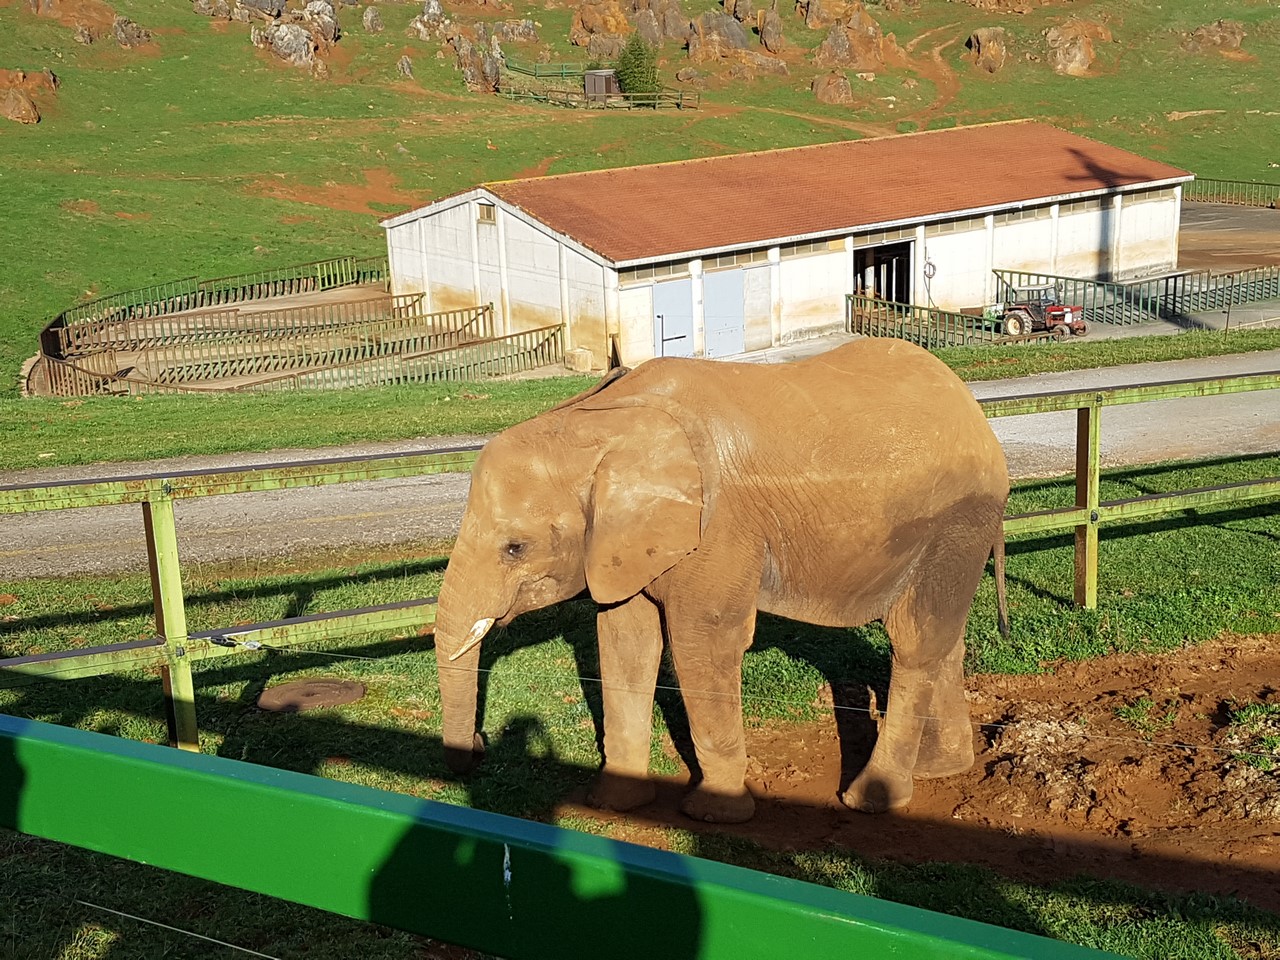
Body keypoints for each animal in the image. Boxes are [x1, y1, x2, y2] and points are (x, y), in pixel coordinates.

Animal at [432, 335, 1008, 824]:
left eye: (515, 548)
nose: (481, 743)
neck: (601, 422)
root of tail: (970, 404)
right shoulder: (625, 544)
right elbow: (625, 640)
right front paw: (616, 804)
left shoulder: (719, 529)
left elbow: (702, 642)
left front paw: (713, 815)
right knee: (942, 639)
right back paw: (941, 769)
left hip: (960, 518)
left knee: (914, 641)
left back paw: (870, 799)